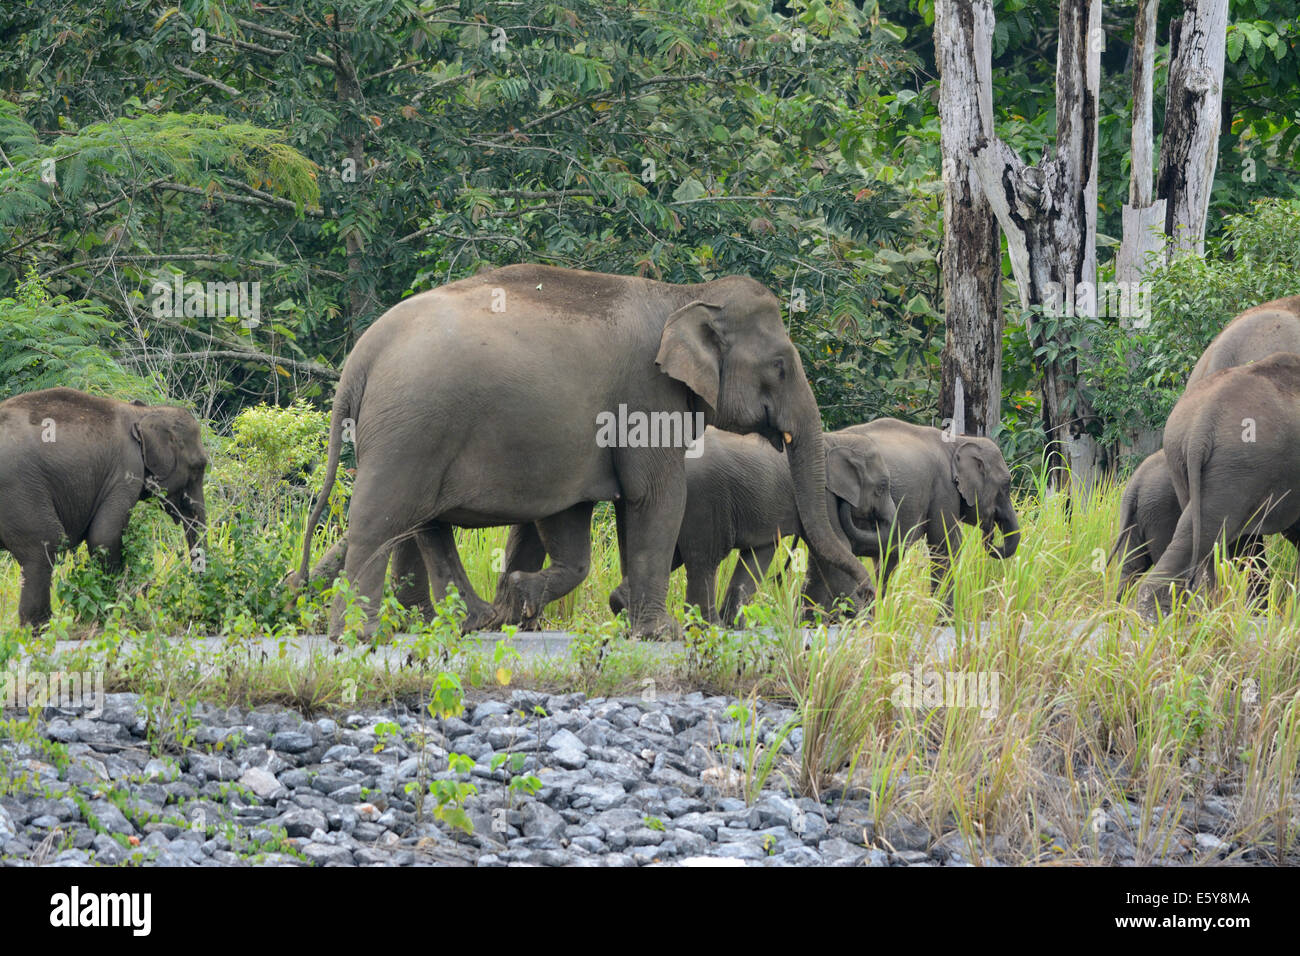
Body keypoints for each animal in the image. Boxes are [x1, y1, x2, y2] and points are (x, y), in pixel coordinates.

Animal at [0, 387, 207, 628]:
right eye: (198, 467)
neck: (142, 413)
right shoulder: (125, 470)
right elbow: (104, 538)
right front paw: (118, 612)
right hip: (18, 490)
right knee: (44, 545)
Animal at [601, 426, 897, 627]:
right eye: (882, 487)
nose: (869, 592)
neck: (836, 438)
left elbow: (761, 554)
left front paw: (740, 625)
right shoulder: (822, 494)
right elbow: (835, 548)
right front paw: (863, 621)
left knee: (668, 554)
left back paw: (621, 606)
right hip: (704, 499)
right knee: (704, 559)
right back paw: (708, 627)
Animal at [803, 418, 1019, 610]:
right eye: (1006, 485)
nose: (990, 527)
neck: (956, 441)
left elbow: (887, 558)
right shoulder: (944, 490)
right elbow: (945, 546)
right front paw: (944, 620)